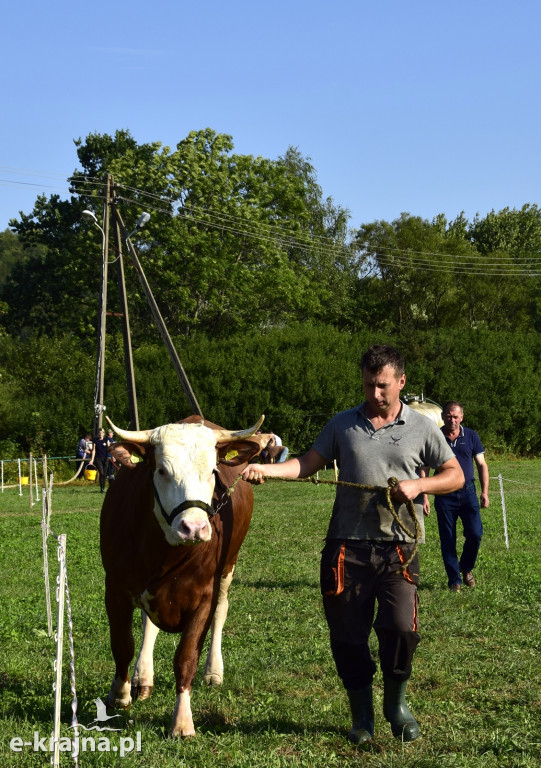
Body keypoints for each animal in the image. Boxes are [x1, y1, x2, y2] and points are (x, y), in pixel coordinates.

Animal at [99, 414, 268, 736]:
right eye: (162, 470)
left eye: (213, 470)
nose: (194, 528)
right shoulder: (115, 589)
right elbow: (122, 644)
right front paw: (120, 693)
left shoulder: (203, 597)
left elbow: (187, 658)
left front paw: (182, 721)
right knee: (148, 625)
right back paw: (143, 676)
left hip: (228, 568)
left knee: (221, 611)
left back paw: (214, 670)